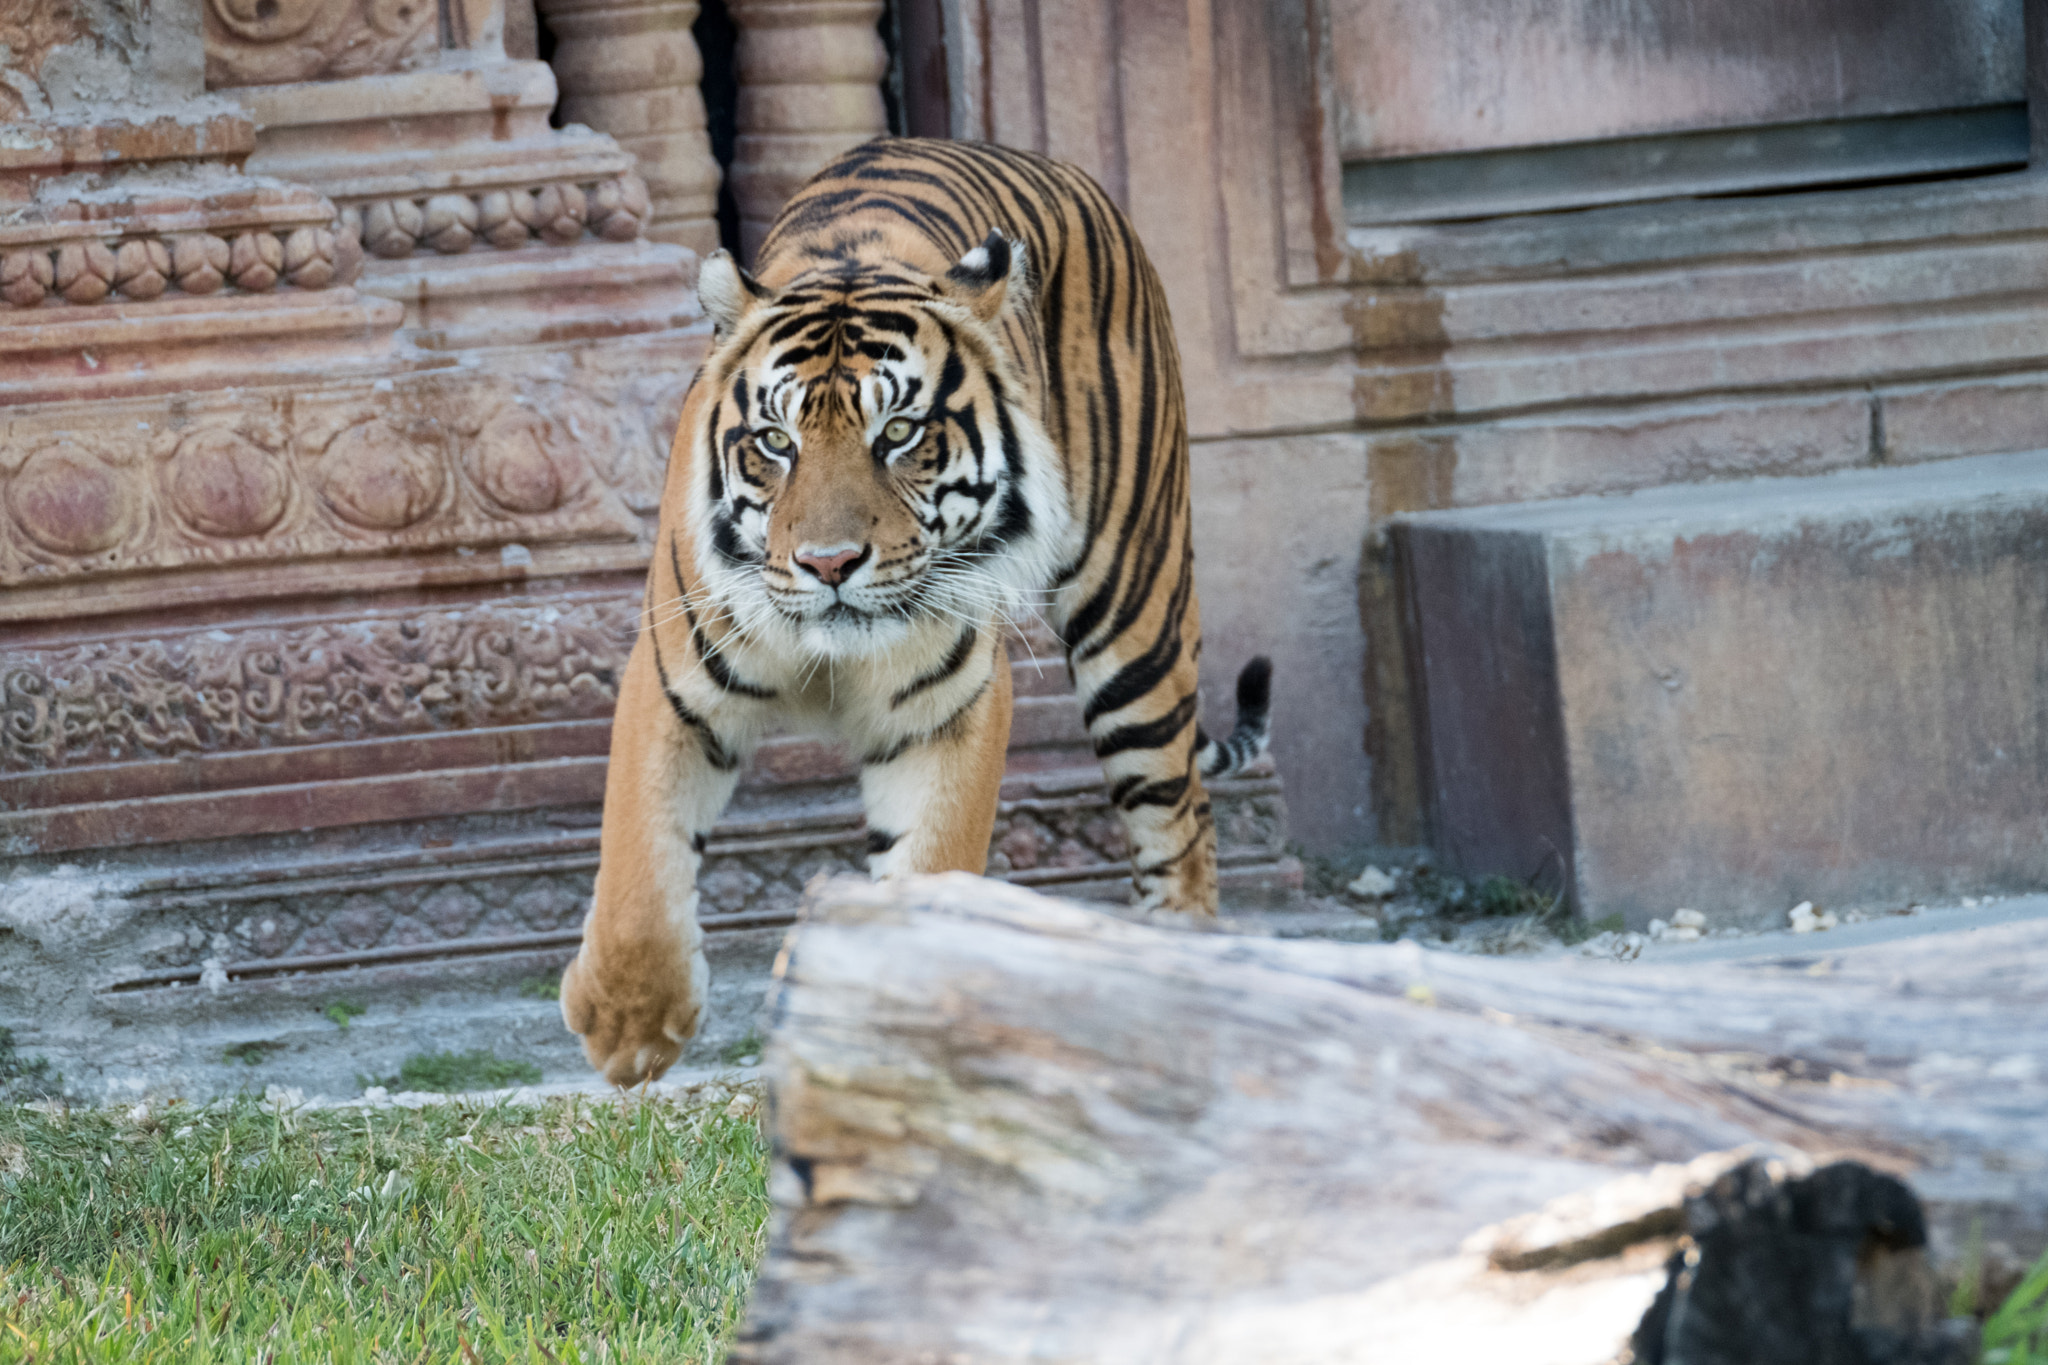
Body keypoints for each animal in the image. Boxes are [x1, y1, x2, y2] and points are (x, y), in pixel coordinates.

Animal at [561, 136, 1261, 1080]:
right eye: (776, 441)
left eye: (897, 434)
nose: (827, 564)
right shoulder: (674, 674)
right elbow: (638, 844)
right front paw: (627, 1021)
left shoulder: (950, 707)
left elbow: (931, 862)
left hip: (1136, 621)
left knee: (1181, 821)